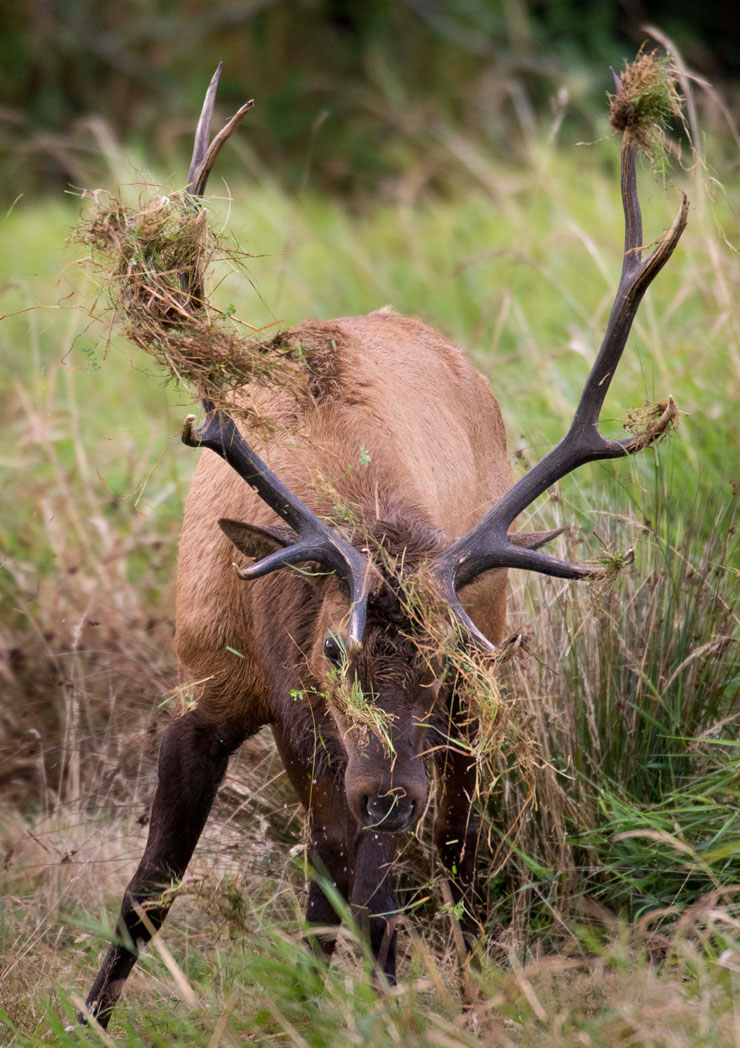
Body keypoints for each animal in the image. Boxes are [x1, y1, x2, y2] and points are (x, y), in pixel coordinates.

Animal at [83, 63, 687, 1022]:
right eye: (335, 644)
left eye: (447, 651)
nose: (390, 798)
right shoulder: (207, 680)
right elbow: (150, 887)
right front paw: (88, 1017)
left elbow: (366, 899)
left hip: (469, 707)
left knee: (456, 861)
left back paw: (465, 991)